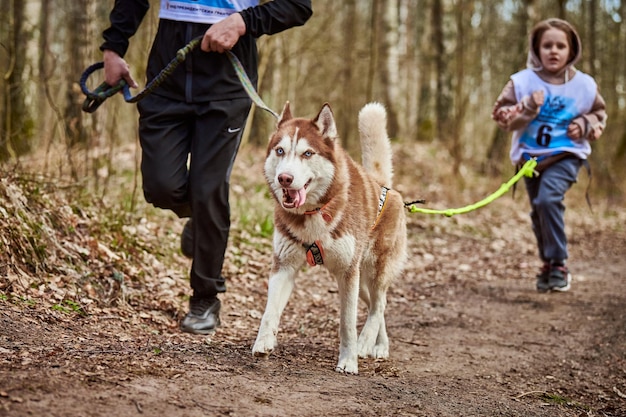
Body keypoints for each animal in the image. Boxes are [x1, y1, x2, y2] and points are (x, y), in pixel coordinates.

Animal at [251, 101, 408, 374]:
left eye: (307, 154)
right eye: (280, 151)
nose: (285, 178)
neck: (313, 212)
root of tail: (382, 184)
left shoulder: (347, 272)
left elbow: (347, 323)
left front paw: (349, 360)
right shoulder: (284, 265)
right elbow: (270, 311)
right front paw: (264, 341)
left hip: (373, 270)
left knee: (379, 304)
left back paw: (367, 343)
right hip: (360, 280)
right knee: (377, 304)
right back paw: (380, 345)